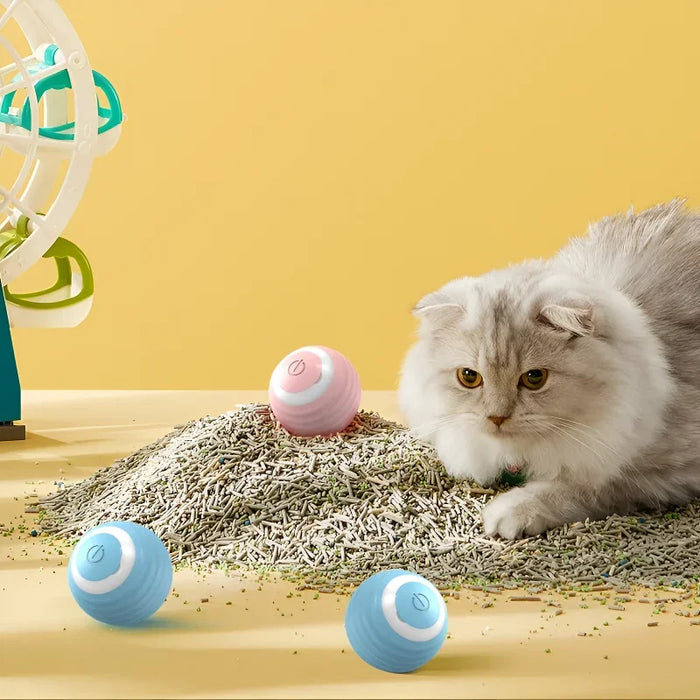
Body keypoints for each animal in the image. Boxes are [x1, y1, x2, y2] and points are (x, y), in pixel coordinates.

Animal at [400, 200, 700, 540]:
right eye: (469, 377)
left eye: (534, 379)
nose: (497, 418)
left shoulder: (662, 470)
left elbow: (580, 486)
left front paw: (509, 513)